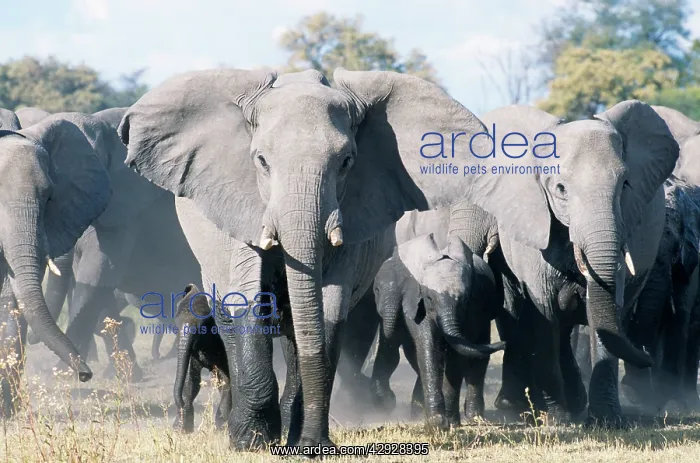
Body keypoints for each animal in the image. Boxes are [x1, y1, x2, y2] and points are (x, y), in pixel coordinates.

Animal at [173, 283, 231, 433]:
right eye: (176, 322)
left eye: (203, 326)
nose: (181, 404)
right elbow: (191, 381)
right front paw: (181, 429)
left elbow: (227, 380)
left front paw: (221, 428)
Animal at [370, 233, 504, 428]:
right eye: (429, 298)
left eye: (464, 300)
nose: (504, 343)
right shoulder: (416, 304)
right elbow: (428, 349)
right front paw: (437, 422)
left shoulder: (473, 307)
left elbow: (456, 355)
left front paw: (449, 422)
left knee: (478, 358)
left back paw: (475, 417)